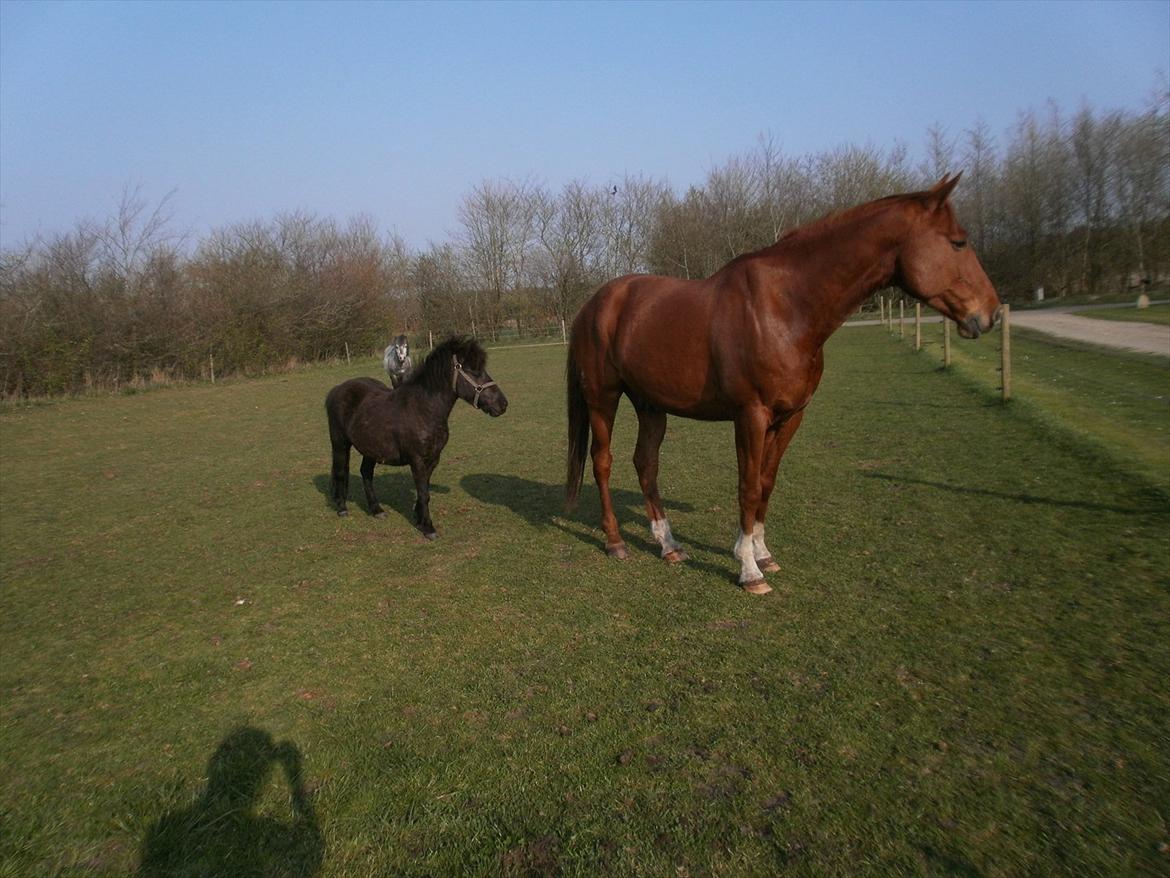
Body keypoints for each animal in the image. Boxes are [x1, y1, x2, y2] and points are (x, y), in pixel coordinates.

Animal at [322, 337, 505, 540]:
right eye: (473, 370)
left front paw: (418, 518)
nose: (502, 404)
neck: (424, 409)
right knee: (340, 471)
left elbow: (424, 491)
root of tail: (337, 390)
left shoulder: (433, 459)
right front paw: (428, 528)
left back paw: (377, 510)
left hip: (371, 448)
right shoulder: (416, 460)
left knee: (366, 473)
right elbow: (423, 492)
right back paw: (342, 508)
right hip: (340, 443)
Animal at [563, 175, 996, 594]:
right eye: (958, 242)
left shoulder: (790, 417)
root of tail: (594, 305)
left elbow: (766, 484)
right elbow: (748, 486)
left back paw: (670, 546)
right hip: (603, 399)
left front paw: (762, 553)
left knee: (646, 463)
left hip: (650, 404)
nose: (989, 314)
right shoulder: (751, 416)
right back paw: (615, 541)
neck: (786, 308)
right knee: (603, 462)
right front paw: (749, 570)